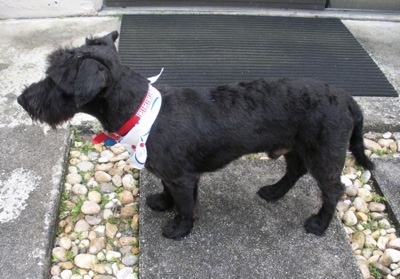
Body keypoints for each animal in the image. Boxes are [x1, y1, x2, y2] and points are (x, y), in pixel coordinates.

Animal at [18, 31, 376, 241]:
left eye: (54, 80)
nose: (22, 100)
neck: (142, 110)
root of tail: (346, 98)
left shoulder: (181, 176)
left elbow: (187, 205)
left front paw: (179, 228)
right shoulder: (173, 174)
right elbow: (171, 192)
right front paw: (163, 204)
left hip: (324, 153)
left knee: (333, 189)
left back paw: (319, 223)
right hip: (298, 147)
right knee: (294, 171)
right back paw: (274, 192)